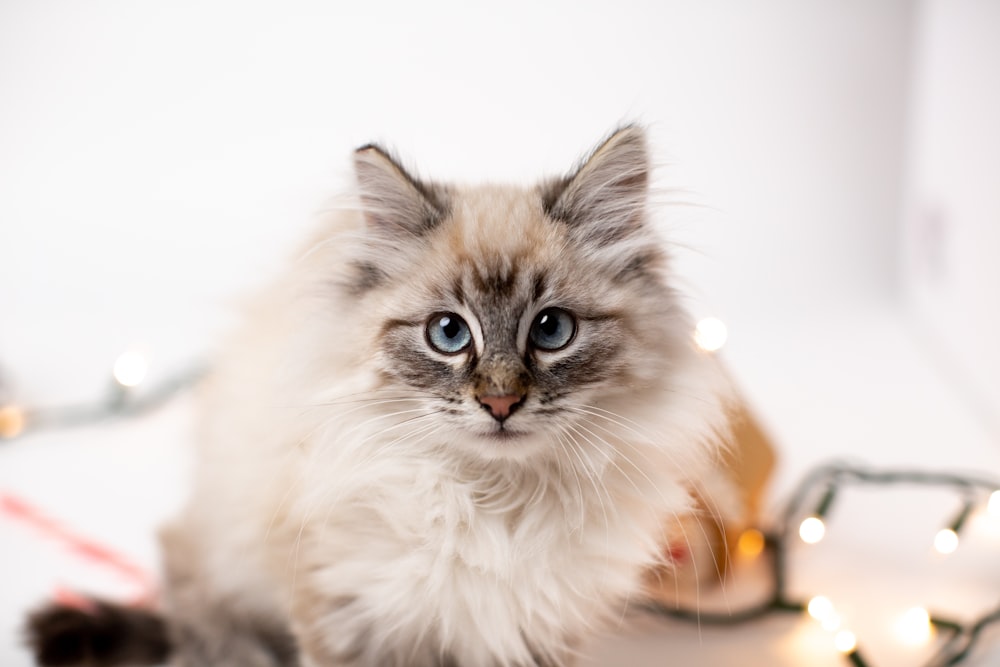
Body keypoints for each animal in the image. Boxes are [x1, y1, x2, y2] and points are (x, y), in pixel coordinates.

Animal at [29, 125, 736, 667]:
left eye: (551, 331)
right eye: (448, 333)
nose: (500, 403)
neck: (493, 503)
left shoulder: (535, 627)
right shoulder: (346, 609)